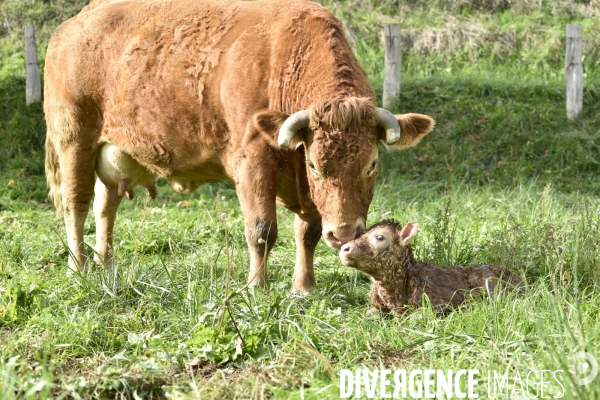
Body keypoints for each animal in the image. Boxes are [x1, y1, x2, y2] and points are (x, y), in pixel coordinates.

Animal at [44, 0, 434, 294]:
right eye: (315, 166)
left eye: (371, 164)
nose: (344, 234)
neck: (285, 60)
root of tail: (75, 22)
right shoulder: (253, 162)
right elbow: (262, 231)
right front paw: (256, 287)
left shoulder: (304, 190)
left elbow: (306, 233)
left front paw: (304, 286)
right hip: (74, 140)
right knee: (76, 205)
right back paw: (79, 267)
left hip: (113, 154)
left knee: (104, 207)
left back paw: (106, 263)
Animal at [340, 220, 524, 314]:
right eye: (360, 234)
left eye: (380, 237)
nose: (344, 249)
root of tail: (522, 281)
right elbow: (370, 314)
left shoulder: (437, 302)